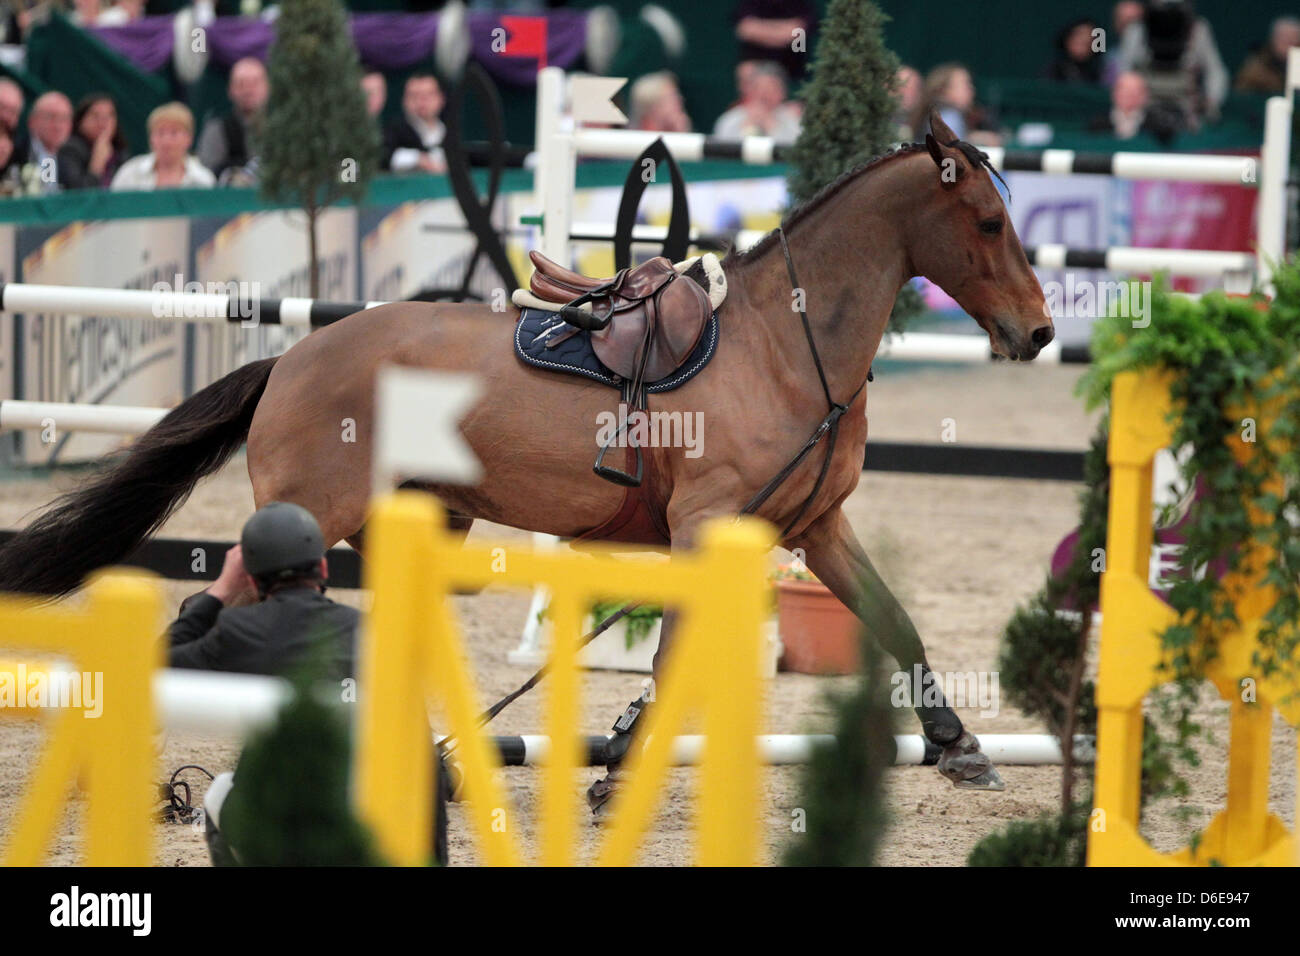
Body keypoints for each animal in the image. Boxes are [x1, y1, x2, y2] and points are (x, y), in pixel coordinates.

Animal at [0, 113, 1051, 794]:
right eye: (988, 224)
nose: (1038, 333)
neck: (786, 347)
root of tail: (291, 358)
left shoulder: (817, 526)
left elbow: (896, 622)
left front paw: (958, 743)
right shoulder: (706, 527)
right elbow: (672, 662)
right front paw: (618, 767)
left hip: (409, 526)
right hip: (304, 516)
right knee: (218, 605)